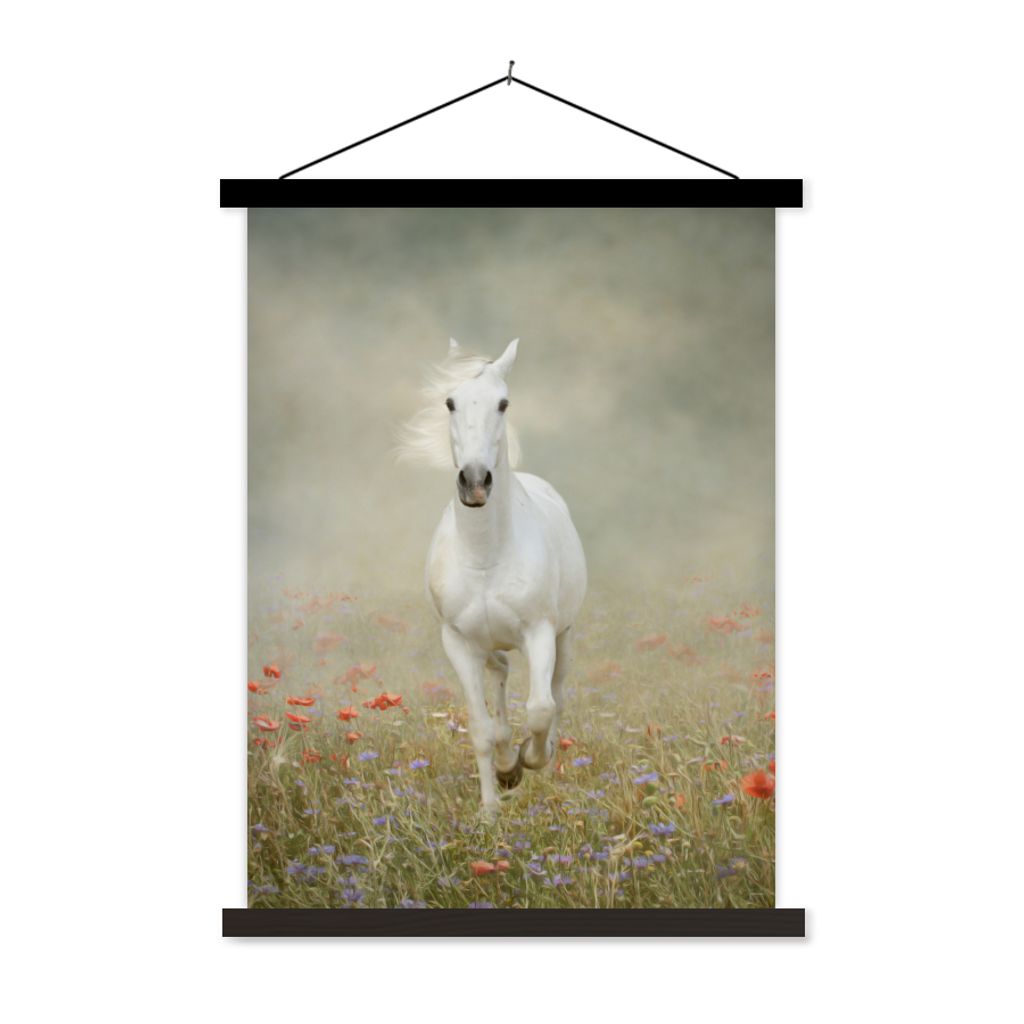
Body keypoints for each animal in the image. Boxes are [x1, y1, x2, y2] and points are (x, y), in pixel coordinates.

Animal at [398, 338, 587, 820]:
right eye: (449, 402)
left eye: (503, 403)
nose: (475, 481)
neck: (485, 557)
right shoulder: (458, 643)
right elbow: (481, 728)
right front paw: (492, 799)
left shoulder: (539, 632)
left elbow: (540, 709)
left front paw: (529, 761)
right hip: (486, 643)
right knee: (499, 673)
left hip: (564, 636)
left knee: (557, 693)